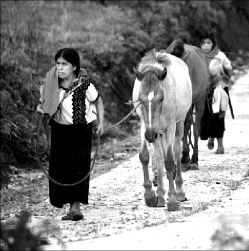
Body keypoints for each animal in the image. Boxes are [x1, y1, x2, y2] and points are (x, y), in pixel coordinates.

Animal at [132, 49, 193, 210]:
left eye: (161, 98)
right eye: (140, 99)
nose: (150, 135)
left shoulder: (170, 126)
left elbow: (169, 161)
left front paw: (171, 200)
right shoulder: (144, 125)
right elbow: (145, 156)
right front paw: (150, 196)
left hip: (178, 124)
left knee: (176, 151)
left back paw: (179, 192)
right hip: (157, 132)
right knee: (158, 157)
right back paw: (159, 196)